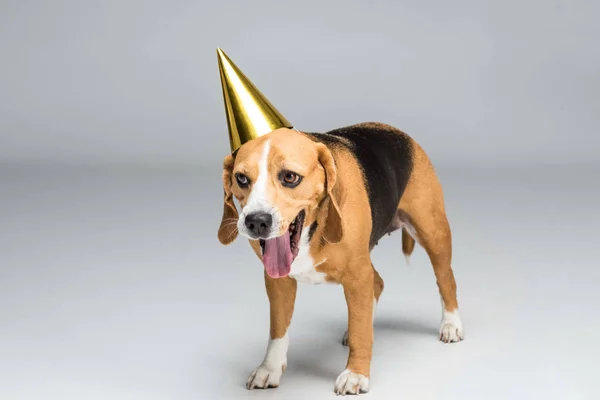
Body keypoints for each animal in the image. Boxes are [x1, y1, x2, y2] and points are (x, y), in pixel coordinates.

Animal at [217, 121, 464, 394]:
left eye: (290, 177)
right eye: (241, 179)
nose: (256, 221)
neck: (313, 228)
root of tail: (395, 130)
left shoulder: (357, 275)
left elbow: (360, 332)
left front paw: (356, 374)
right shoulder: (278, 282)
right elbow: (278, 330)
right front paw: (269, 369)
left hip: (433, 233)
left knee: (446, 279)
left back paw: (451, 324)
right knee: (378, 283)